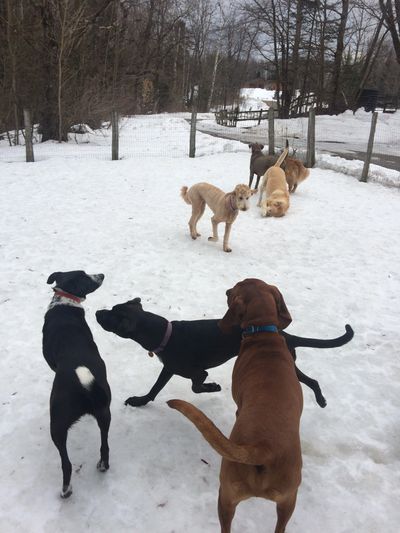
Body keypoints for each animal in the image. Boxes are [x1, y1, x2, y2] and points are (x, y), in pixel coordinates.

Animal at [96, 296, 354, 408]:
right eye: (112, 308)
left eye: (113, 317)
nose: (97, 312)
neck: (165, 334)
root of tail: (284, 334)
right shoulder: (168, 369)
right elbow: (154, 390)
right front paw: (140, 401)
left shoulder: (197, 372)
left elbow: (196, 386)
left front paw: (213, 387)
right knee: (311, 380)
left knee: (312, 381)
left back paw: (320, 399)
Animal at [167, 278, 302, 532]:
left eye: (237, 287)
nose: (227, 290)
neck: (263, 332)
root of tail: (263, 448)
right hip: (287, 501)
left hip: (226, 494)